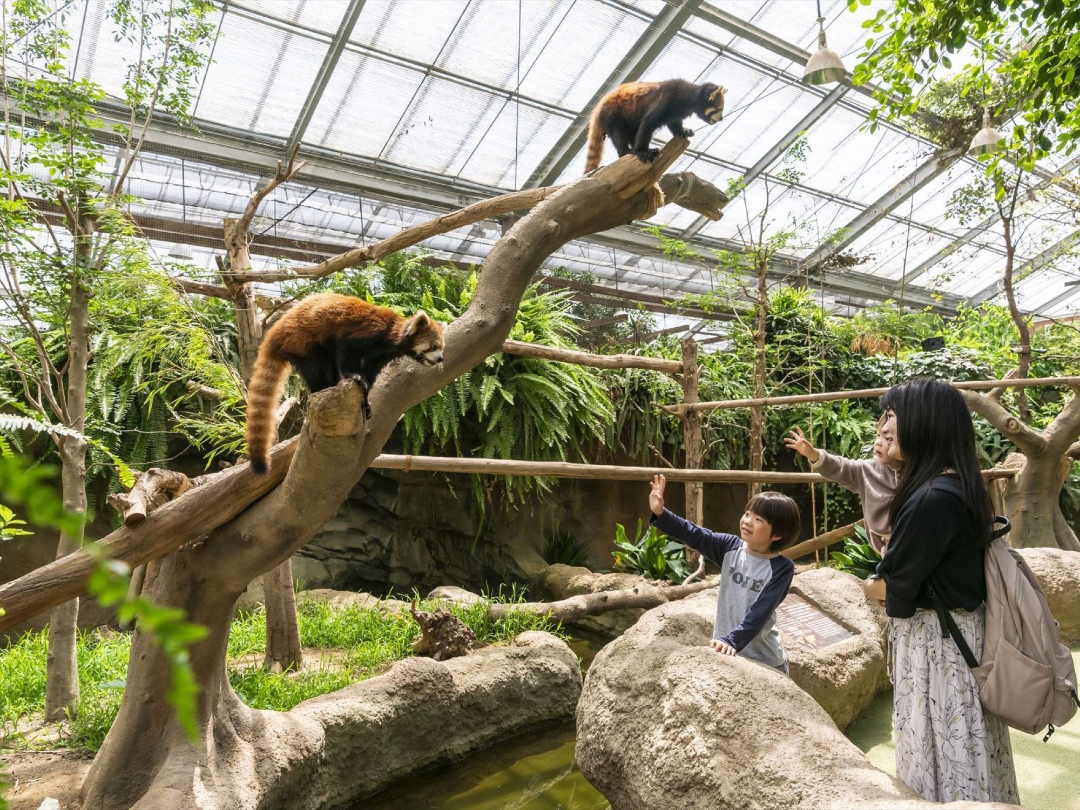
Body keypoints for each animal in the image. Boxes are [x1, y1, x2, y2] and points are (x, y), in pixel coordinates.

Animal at [245, 295, 442, 475]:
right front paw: (355, 376)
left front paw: (366, 402)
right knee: (317, 369)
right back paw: (322, 388)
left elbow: (370, 374)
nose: (441, 358)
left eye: (441, 347)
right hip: (303, 342)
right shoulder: (363, 331)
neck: (390, 338)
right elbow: (347, 352)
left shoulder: (379, 357)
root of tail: (275, 331)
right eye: (434, 346)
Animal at [583, 79, 725, 172]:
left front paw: (683, 131)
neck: (689, 97)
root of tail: (598, 107)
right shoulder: (666, 99)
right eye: (719, 109)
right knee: (619, 135)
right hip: (613, 114)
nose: (722, 118)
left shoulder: (674, 113)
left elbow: (674, 124)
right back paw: (628, 151)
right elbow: (647, 124)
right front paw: (641, 152)